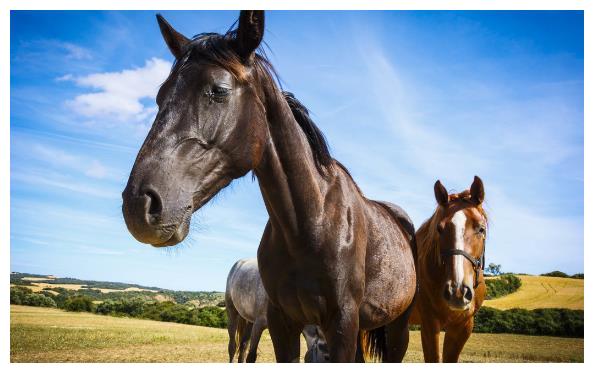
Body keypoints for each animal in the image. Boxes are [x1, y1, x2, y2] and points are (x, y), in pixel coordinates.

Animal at [120, 10, 416, 360]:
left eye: (219, 90)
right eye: (159, 97)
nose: (138, 204)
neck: (311, 223)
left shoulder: (342, 322)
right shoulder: (281, 321)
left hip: (397, 327)